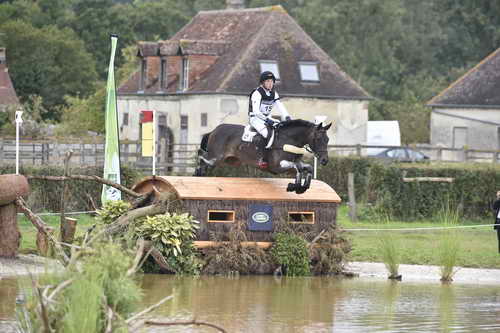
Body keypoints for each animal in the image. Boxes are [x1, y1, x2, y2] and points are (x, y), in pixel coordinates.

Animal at [195, 118, 332, 193]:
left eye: (327, 139)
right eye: (318, 139)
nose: (325, 160)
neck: (289, 140)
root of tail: (214, 130)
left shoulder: (293, 164)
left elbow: (308, 168)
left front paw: (302, 188)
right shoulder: (278, 166)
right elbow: (298, 169)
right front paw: (294, 187)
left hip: (229, 160)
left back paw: (201, 175)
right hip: (215, 157)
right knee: (201, 156)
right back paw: (197, 173)